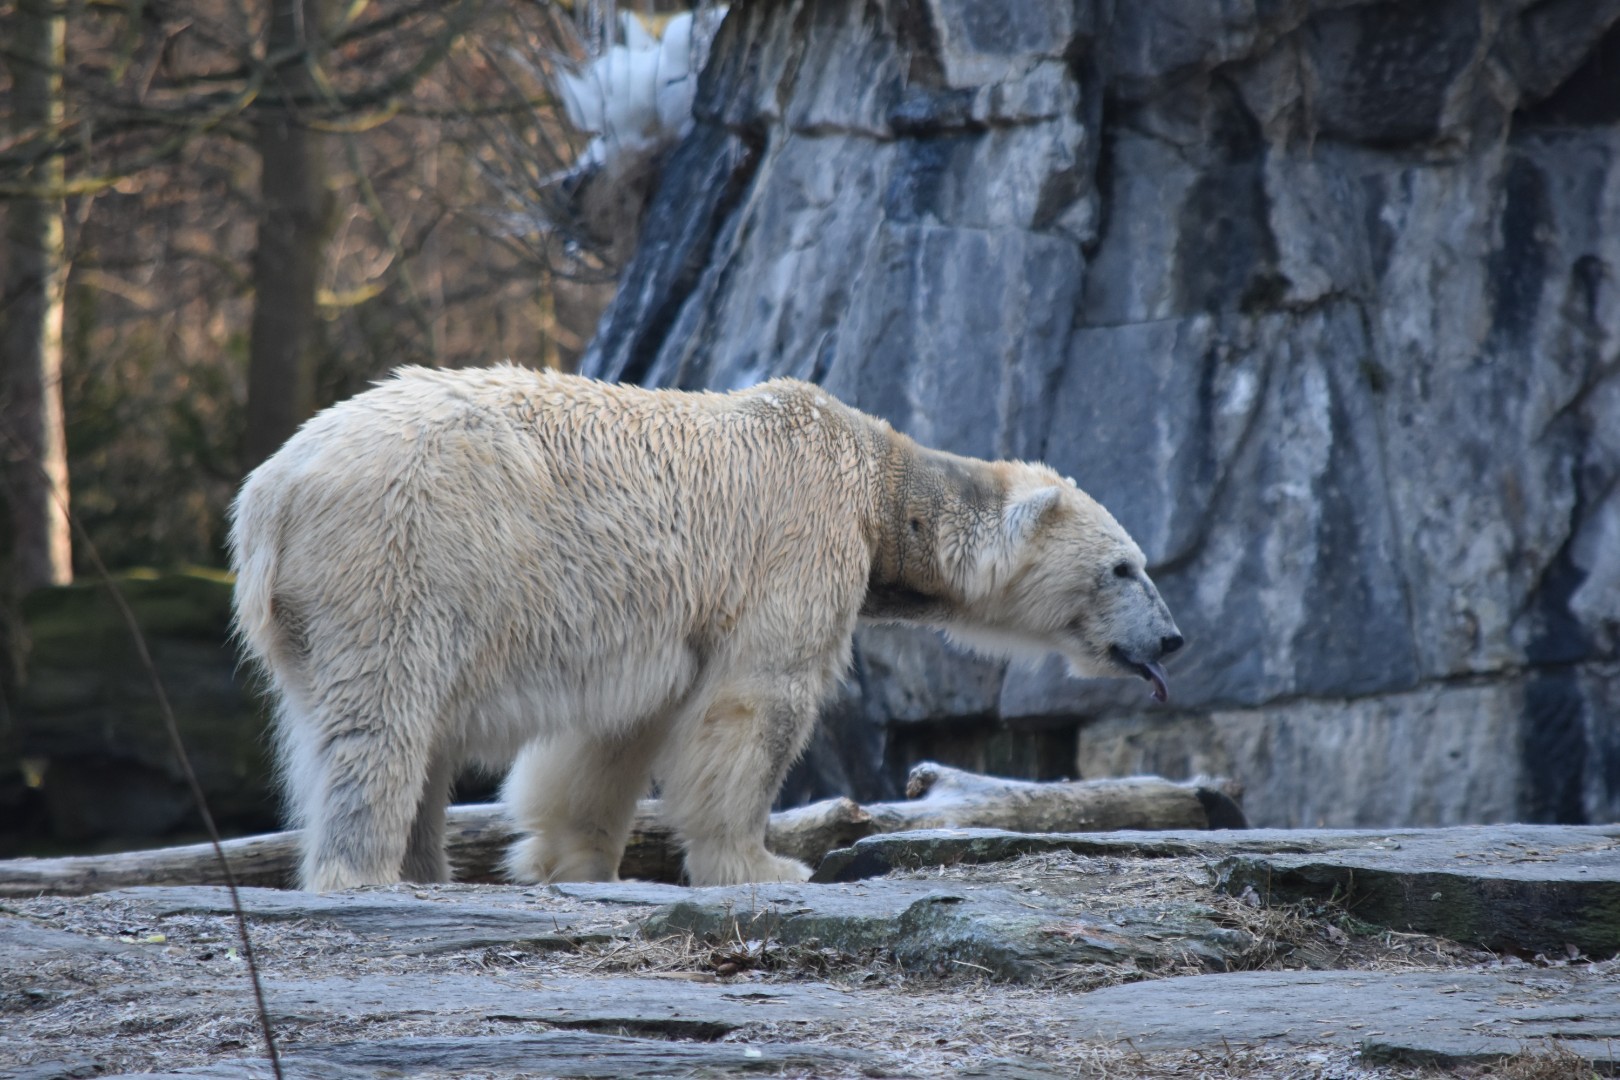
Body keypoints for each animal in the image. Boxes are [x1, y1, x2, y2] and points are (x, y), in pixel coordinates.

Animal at [229, 365, 1183, 891]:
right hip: (407, 549)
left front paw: (576, 860)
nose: (1173, 640)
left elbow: (616, 734)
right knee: (383, 715)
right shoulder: (797, 540)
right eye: (1125, 567)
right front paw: (766, 865)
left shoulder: (663, 622)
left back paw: (428, 872)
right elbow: (756, 705)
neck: (879, 486)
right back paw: (367, 871)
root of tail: (273, 489)